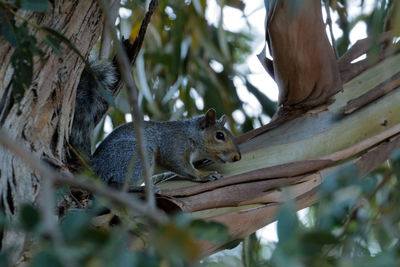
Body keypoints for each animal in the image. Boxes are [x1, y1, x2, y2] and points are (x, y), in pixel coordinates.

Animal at [69, 62, 241, 188]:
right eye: (219, 135)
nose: (237, 157)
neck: (192, 135)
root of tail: (96, 166)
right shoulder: (174, 145)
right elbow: (181, 165)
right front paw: (204, 175)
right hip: (136, 156)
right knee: (116, 183)